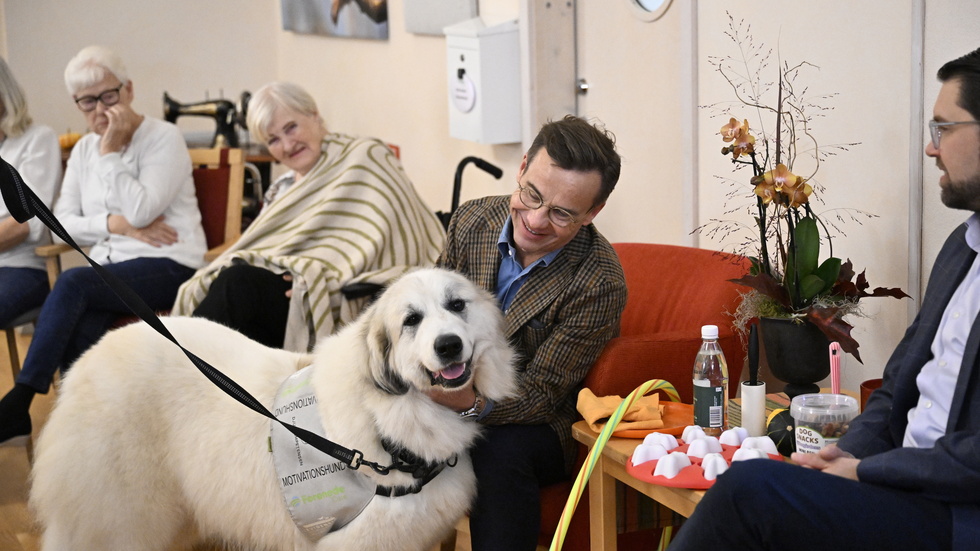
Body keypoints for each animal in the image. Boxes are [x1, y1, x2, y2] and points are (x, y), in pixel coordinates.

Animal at [27, 268, 516, 551]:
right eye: (411, 321)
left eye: (457, 306)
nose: (448, 345)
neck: (386, 419)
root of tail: (84, 363)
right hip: (122, 518)